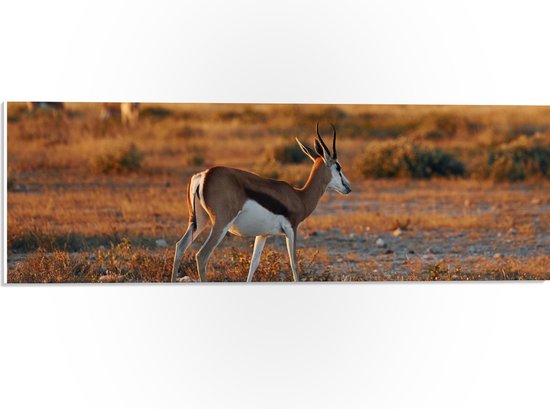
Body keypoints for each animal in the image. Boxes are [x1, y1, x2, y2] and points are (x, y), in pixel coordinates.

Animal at [174, 122, 354, 282]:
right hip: (221, 224)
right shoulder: (291, 229)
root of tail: (204, 175)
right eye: (338, 167)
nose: (348, 187)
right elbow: (294, 264)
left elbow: (253, 264)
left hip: (199, 221)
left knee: (180, 246)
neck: (299, 196)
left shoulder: (262, 234)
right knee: (201, 256)